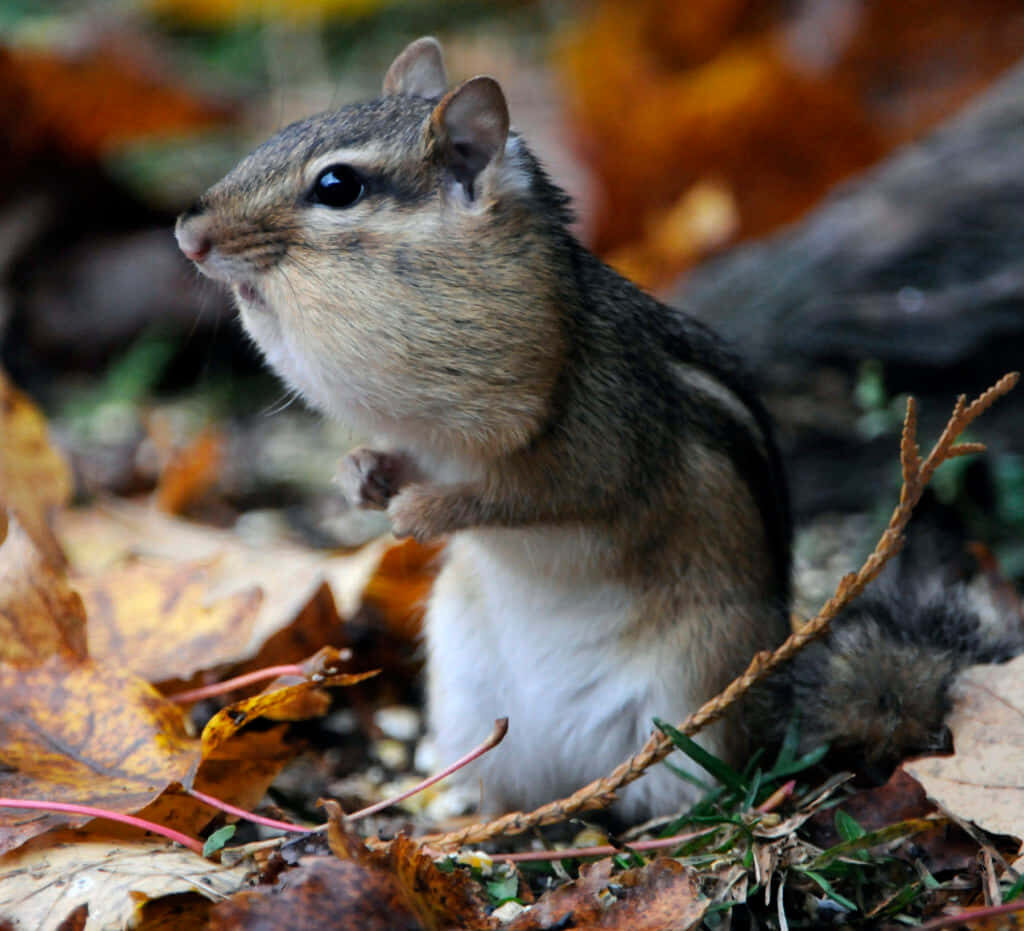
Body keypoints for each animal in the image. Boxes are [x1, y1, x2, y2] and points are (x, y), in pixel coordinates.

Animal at [175, 37, 1019, 820]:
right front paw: (361, 475)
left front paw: (424, 509)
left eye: (337, 186)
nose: (189, 233)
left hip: (690, 693)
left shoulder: (597, 443)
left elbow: (527, 496)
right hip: (466, 687)